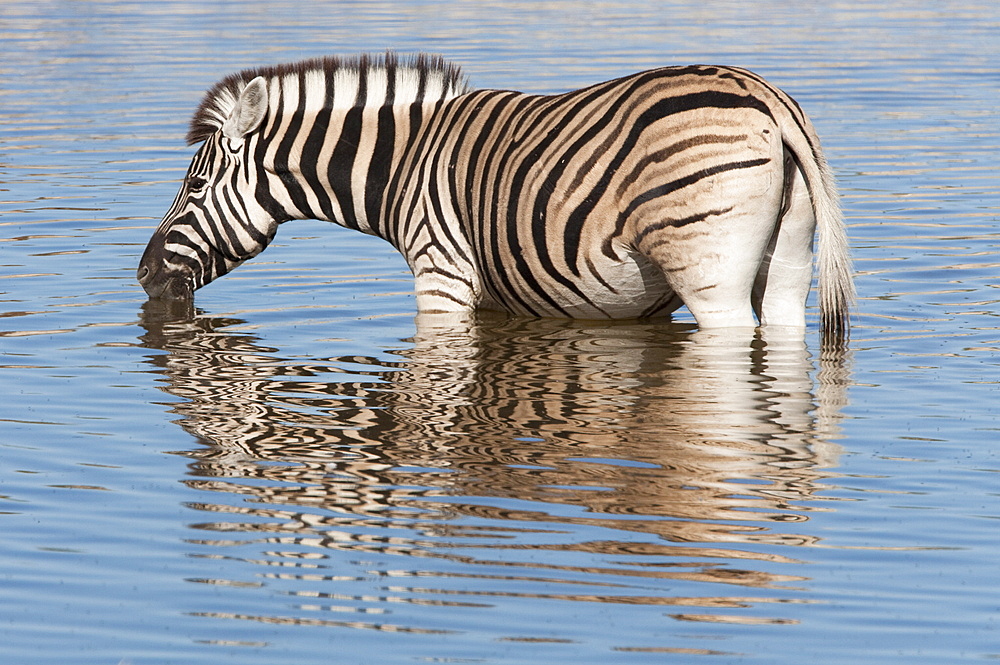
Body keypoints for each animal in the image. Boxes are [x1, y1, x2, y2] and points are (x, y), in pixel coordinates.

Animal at [135, 52, 852, 342]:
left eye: (194, 186)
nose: (141, 276)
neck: (405, 164)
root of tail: (769, 98)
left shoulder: (440, 275)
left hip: (710, 272)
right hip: (788, 260)